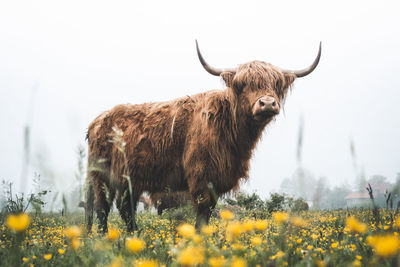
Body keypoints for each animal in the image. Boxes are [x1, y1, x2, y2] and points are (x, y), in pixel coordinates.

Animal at [84, 40, 322, 233]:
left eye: (276, 84)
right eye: (243, 85)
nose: (268, 103)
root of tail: (98, 119)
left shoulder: (216, 181)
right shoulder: (201, 177)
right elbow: (200, 216)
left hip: (130, 179)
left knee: (125, 209)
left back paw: (134, 237)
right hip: (102, 176)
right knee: (102, 209)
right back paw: (105, 239)